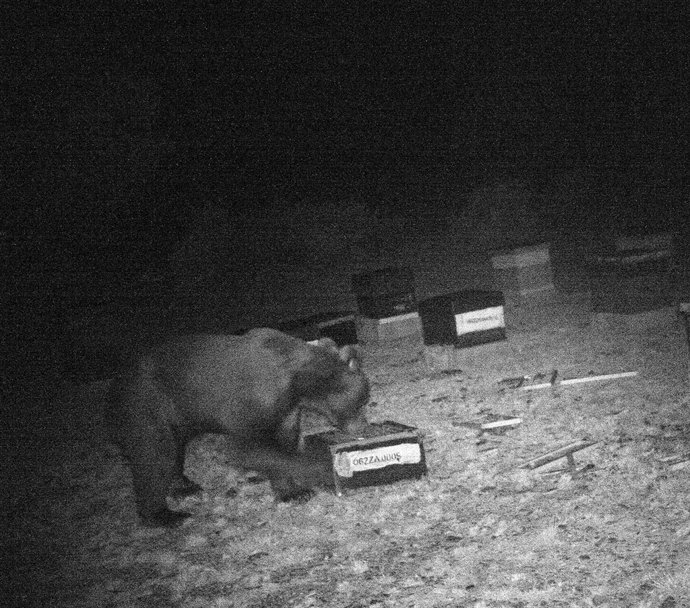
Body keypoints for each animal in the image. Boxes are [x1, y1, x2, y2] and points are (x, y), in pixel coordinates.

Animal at [106, 328, 370, 527]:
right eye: (363, 401)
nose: (364, 427)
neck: (299, 385)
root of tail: (117, 381)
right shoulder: (254, 399)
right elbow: (248, 448)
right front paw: (330, 467)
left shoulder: (285, 411)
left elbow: (281, 444)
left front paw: (292, 493)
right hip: (147, 405)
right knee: (156, 455)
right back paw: (164, 515)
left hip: (177, 417)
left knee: (173, 451)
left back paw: (184, 486)